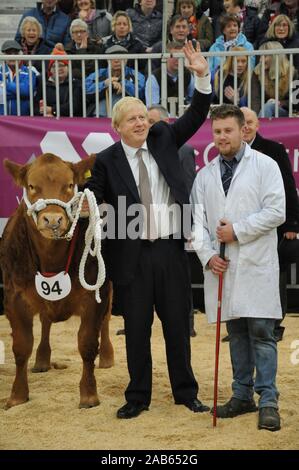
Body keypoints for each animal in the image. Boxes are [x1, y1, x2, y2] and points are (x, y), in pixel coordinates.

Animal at [0, 153, 114, 408]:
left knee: (106, 321)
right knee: (45, 321)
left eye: (70, 185)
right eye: (32, 186)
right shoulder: (14, 297)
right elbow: (21, 346)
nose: (52, 219)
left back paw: (107, 357)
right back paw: (42, 360)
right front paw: (17, 395)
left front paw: (89, 395)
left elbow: (87, 343)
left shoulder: (94, 297)